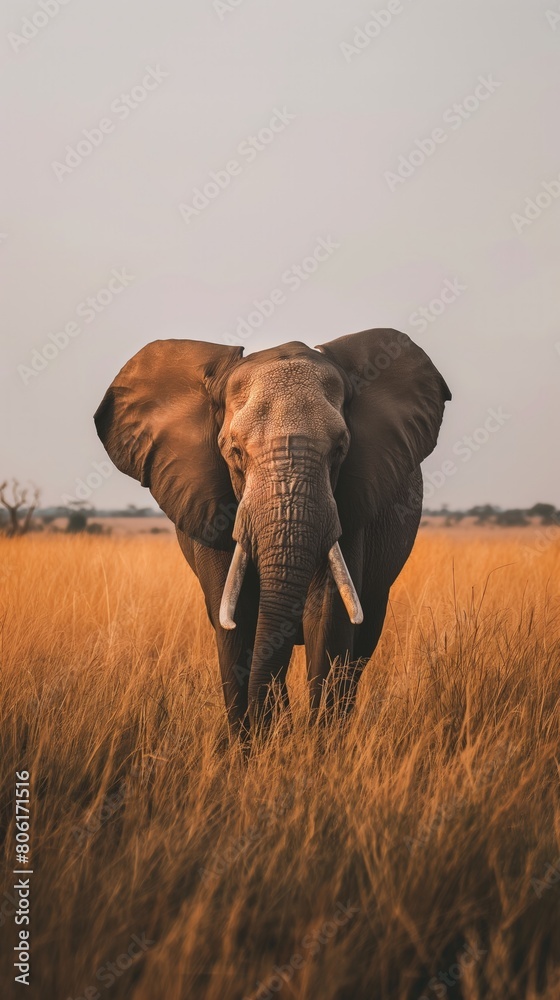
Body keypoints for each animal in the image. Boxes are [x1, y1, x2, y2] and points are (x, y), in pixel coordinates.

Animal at [94, 328, 451, 740]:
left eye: (340, 450)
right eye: (234, 451)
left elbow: (327, 616)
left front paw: (316, 747)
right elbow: (236, 619)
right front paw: (257, 747)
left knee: (362, 642)